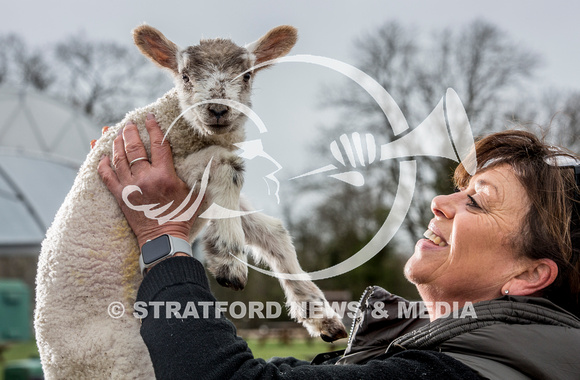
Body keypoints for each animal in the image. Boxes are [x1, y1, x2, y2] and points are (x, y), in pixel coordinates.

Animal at [34, 25, 346, 378]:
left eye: (247, 75)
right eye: (185, 76)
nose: (218, 109)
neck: (179, 127)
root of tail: (51, 364)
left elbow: (273, 231)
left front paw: (319, 313)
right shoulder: (168, 170)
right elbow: (228, 164)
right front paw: (228, 260)